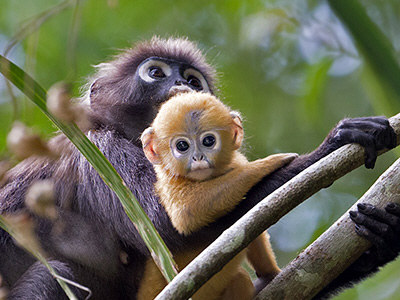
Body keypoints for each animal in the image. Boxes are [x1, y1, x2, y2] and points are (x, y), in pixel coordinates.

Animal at [139, 92, 296, 298]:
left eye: (208, 141)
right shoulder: (169, 184)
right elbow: (186, 212)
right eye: (182, 145)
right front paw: (269, 162)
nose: (198, 158)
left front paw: (271, 273)